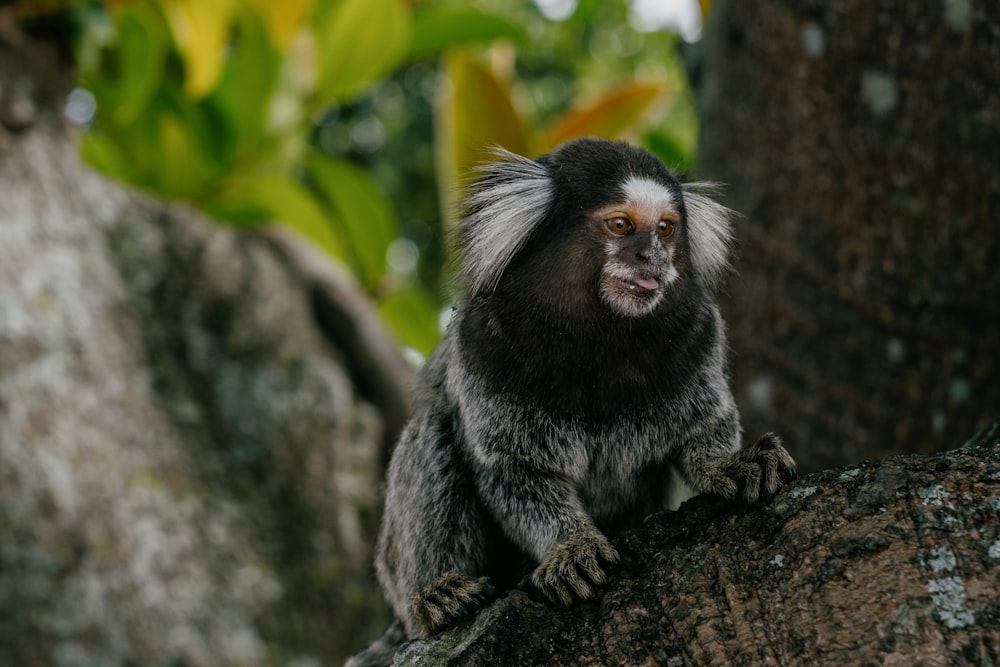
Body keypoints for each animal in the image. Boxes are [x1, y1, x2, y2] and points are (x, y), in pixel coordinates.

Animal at [346, 138, 796, 664]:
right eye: (621, 225)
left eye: (665, 228)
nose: (652, 259)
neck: (598, 333)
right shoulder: (483, 342)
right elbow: (515, 471)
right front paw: (571, 550)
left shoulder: (698, 330)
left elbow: (704, 428)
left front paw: (733, 464)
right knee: (432, 432)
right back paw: (435, 595)